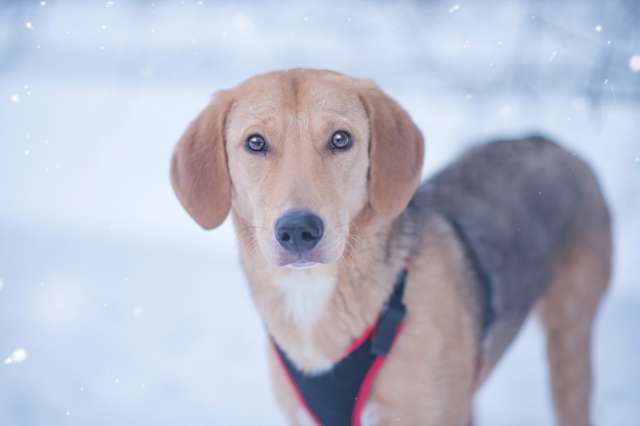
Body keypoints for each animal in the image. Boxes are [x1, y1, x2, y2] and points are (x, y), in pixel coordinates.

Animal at [172, 70, 612, 426]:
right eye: (255, 143)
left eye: (340, 139)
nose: (298, 230)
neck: (315, 298)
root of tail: (548, 141)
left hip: (569, 342)